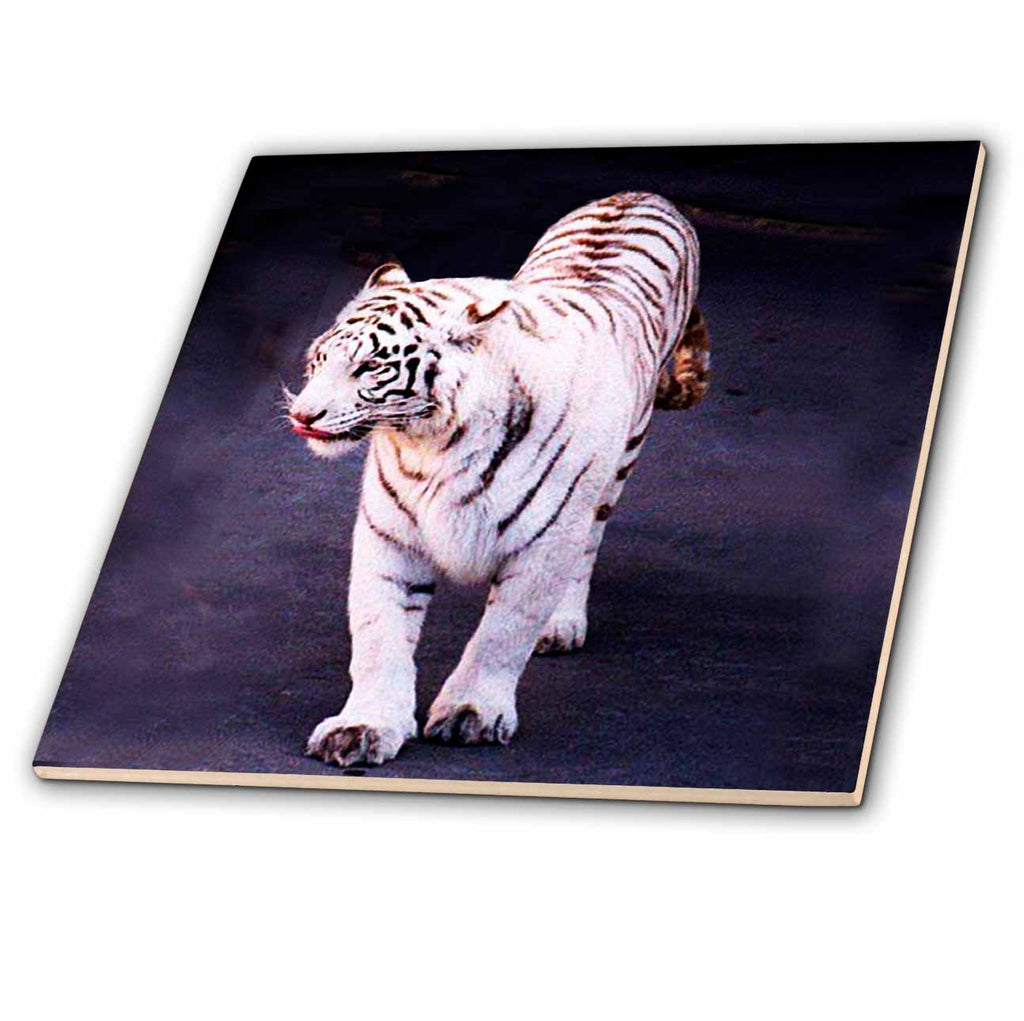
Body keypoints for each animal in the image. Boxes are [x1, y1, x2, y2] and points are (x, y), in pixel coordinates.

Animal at [288, 191, 709, 768]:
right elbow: (379, 635)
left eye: (370, 367)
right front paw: (364, 726)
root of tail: (644, 194)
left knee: (586, 547)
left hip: (612, 471)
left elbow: (503, 633)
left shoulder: (543, 540)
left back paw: (561, 623)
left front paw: (471, 714)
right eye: (319, 359)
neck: (435, 444)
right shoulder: (389, 534)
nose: (302, 416)